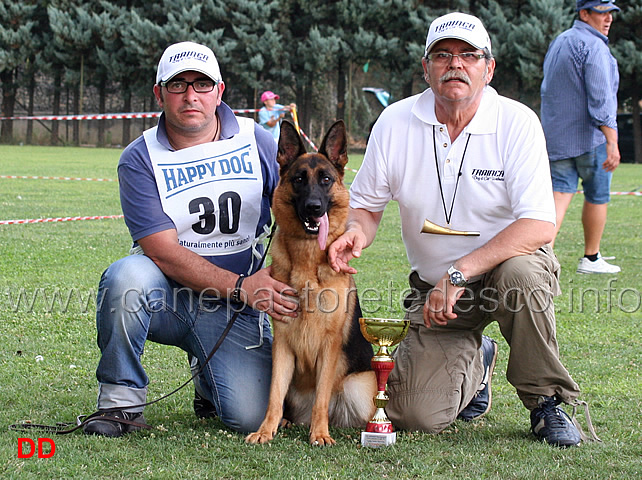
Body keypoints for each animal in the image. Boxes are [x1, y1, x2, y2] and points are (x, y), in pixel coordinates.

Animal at [244, 120, 376, 446]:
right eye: (299, 179)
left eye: (326, 180)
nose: (315, 207)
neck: (306, 258)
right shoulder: (282, 344)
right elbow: (274, 395)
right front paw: (266, 430)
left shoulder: (329, 346)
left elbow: (321, 398)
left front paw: (320, 434)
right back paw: (287, 421)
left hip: (358, 385)